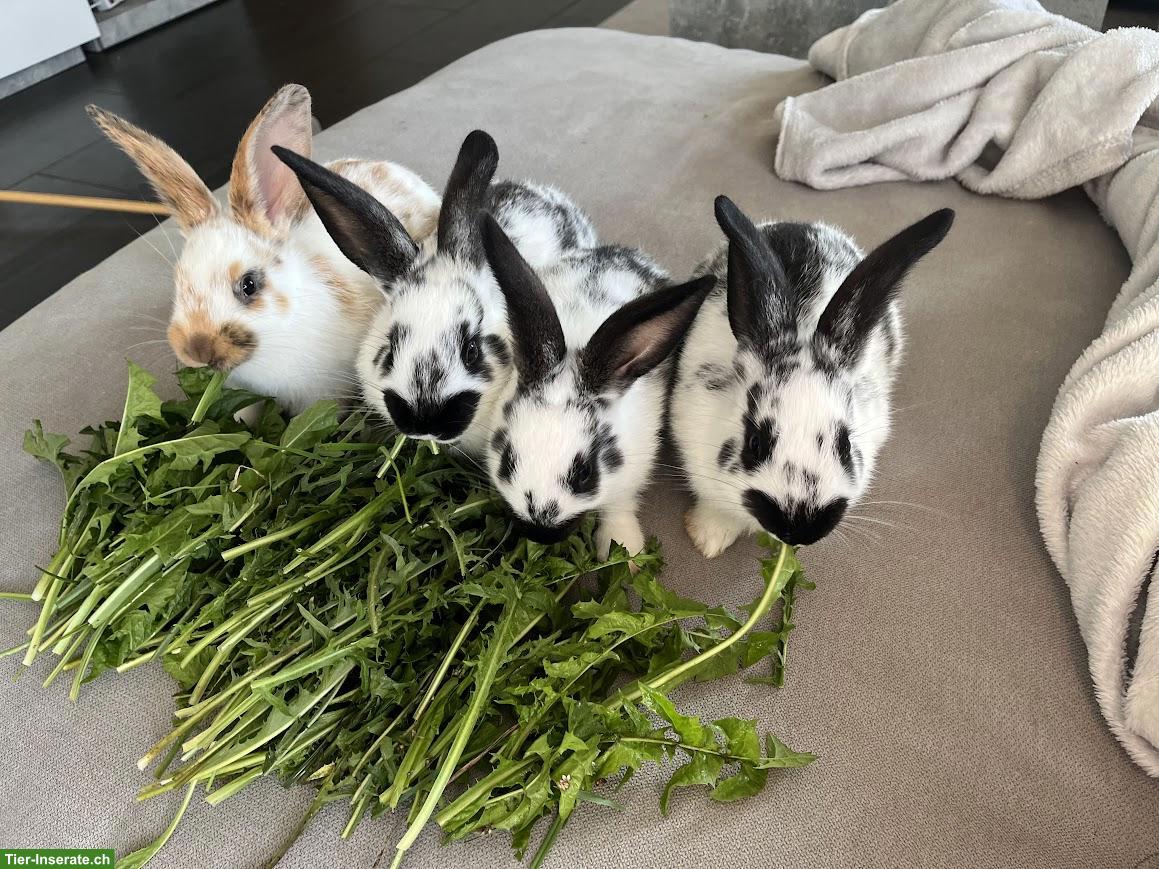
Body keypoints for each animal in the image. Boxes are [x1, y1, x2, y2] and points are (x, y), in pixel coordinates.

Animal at [479, 213, 715, 560]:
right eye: (508, 460)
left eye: (585, 474)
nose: (541, 534)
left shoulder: (630, 475)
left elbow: (617, 507)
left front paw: (626, 553)